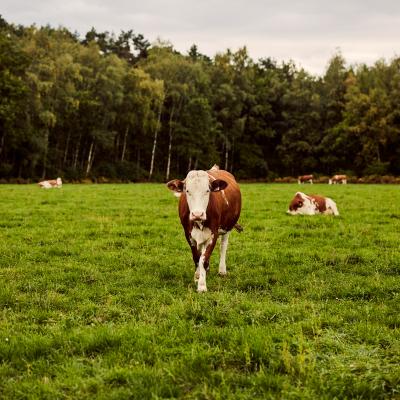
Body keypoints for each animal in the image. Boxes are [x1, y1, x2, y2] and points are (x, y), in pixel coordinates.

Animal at [166, 164, 241, 292]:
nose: (197, 214)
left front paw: (202, 285)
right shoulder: (188, 234)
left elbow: (204, 259)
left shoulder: (213, 234)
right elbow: (197, 257)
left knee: (223, 247)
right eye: (187, 191)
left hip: (228, 227)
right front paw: (197, 277)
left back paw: (222, 270)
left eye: (207, 190)